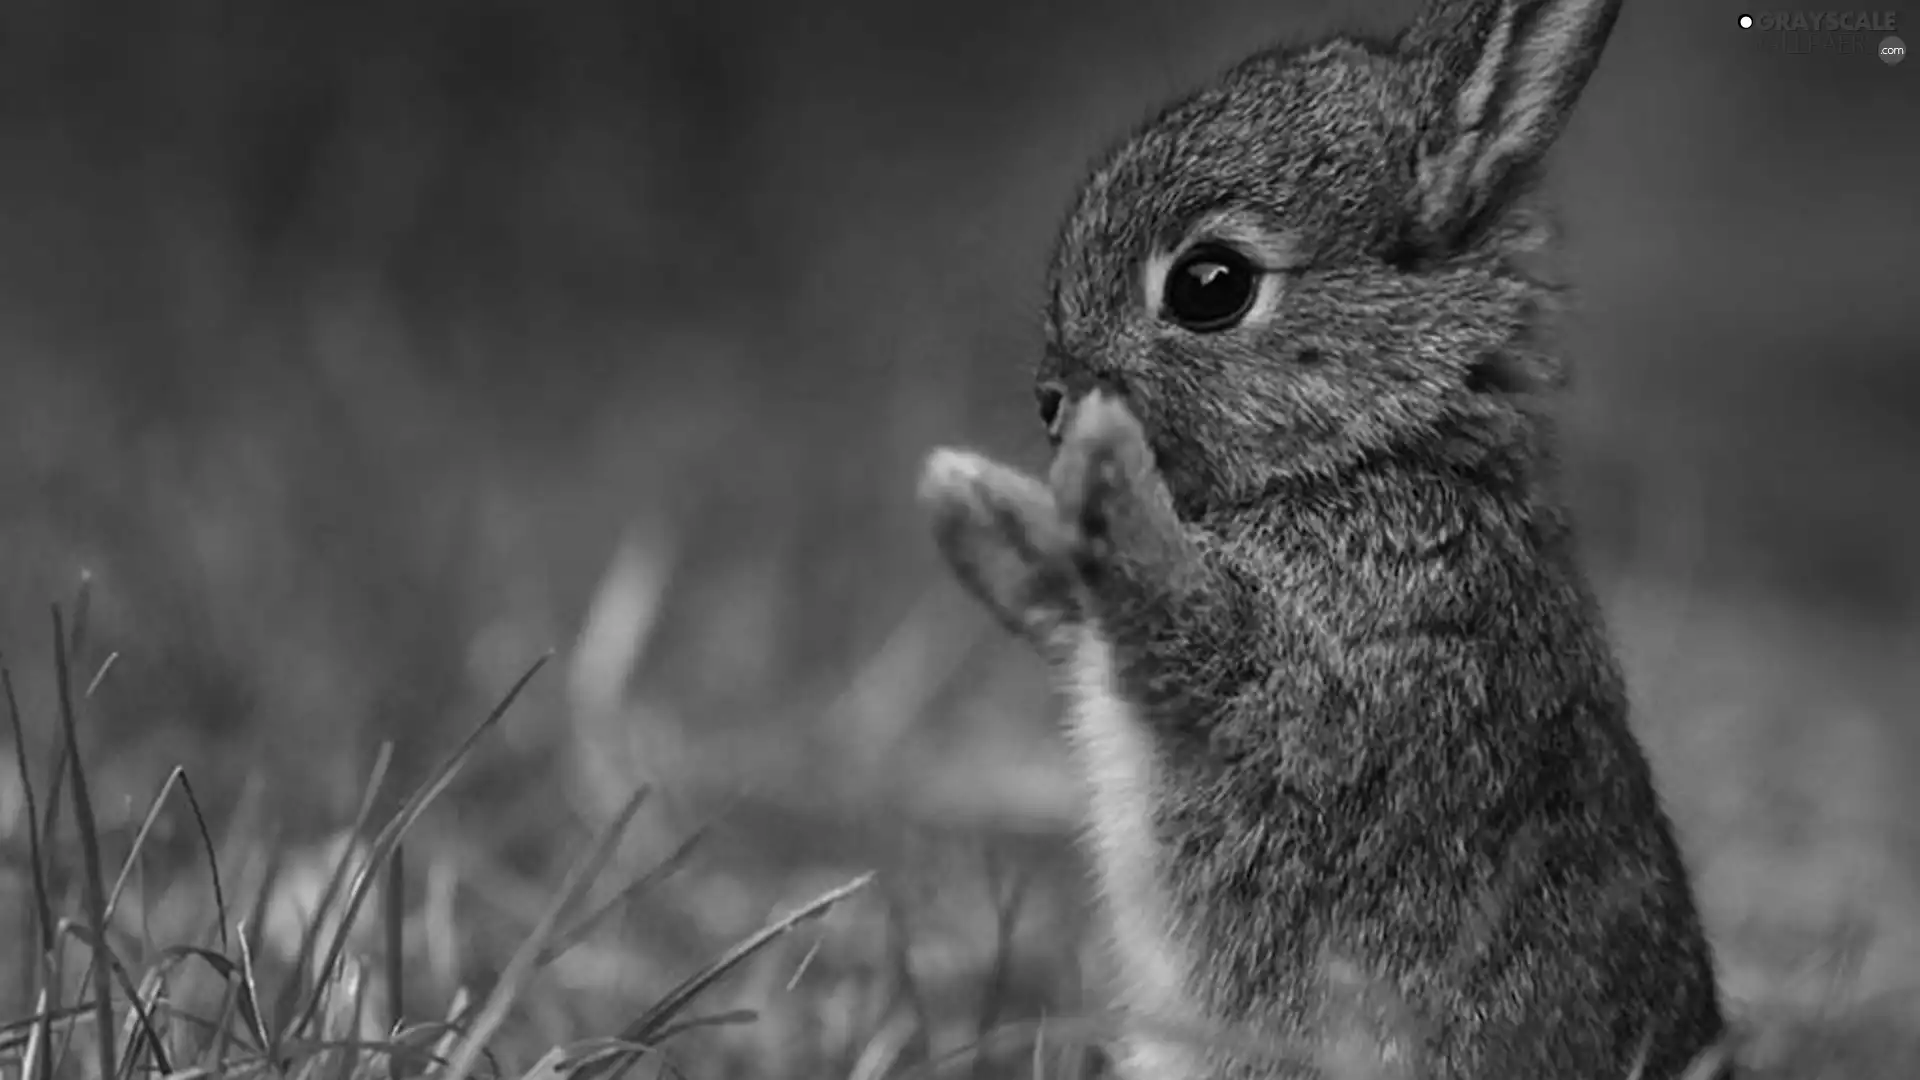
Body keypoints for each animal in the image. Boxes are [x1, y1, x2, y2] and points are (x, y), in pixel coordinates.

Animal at [913, 2, 1728, 1076]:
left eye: (1210, 284)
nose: (1053, 397)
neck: (1365, 456)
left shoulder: (1328, 672)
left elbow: (1182, 618)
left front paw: (1104, 461)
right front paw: (970, 500)